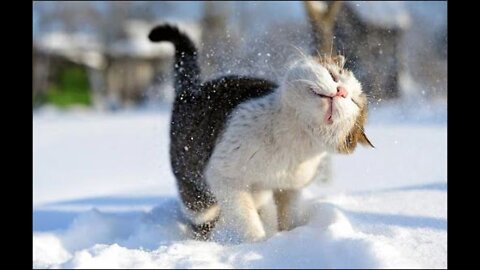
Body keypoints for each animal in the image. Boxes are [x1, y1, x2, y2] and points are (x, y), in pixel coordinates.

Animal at [148, 23, 374, 243]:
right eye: (333, 76)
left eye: (353, 101)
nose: (341, 92)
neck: (294, 137)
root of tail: (191, 90)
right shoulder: (223, 176)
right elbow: (245, 218)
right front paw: (258, 243)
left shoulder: (290, 189)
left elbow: (288, 216)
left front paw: (288, 237)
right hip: (197, 193)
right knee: (203, 217)